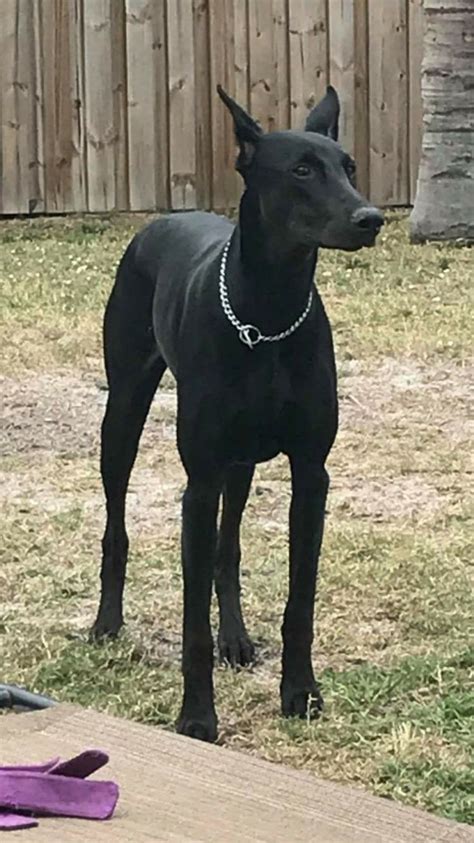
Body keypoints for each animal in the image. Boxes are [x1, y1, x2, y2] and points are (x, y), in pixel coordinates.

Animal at [90, 87, 384, 744]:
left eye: (349, 167)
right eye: (301, 170)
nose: (371, 218)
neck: (268, 315)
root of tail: (163, 219)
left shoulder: (311, 474)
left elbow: (300, 598)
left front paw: (300, 692)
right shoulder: (199, 482)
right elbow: (191, 618)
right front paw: (197, 716)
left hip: (242, 462)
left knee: (229, 550)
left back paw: (237, 638)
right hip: (123, 413)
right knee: (116, 523)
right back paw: (106, 622)